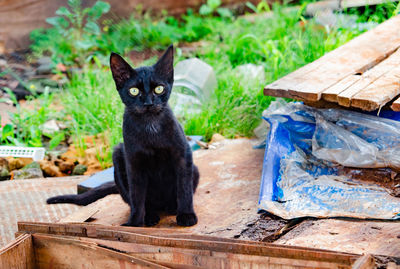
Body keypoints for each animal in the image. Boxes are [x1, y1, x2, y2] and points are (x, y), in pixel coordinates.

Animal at [47, 45, 200, 226]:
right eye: (133, 91)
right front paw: (135, 223)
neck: (150, 126)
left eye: (159, 89)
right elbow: (137, 195)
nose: (148, 103)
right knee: (137, 200)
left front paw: (186, 215)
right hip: (118, 156)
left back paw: (171, 207)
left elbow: (184, 189)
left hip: (194, 170)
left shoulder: (183, 155)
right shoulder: (133, 162)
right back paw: (150, 216)